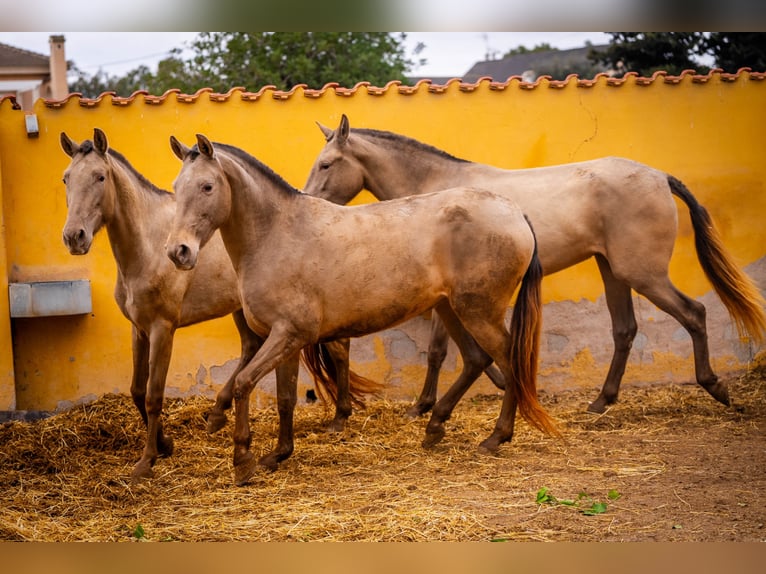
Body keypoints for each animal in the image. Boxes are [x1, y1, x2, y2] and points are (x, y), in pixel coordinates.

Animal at [60, 129, 377, 480]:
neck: (148, 247)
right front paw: (165, 445)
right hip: (243, 311)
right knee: (252, 348)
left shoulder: (162, 328)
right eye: (66, 179)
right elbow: (137, 390)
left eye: (100, 177)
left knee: (338, 348)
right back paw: (218, 413)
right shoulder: (138, 329)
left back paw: (339, 417)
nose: (74, 237)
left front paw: (147, 460)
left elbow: (155, 394)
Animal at [165, 134, 559, 486]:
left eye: (207, 187)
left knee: (509, 361)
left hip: (479, 312)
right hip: (452, 309)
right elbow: (285, 398)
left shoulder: (289, 335)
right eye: (177, 186)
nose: (178, 251)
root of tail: (515, 213)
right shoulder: (285, 340)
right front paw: (278, 455)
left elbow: (244, 382)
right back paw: (434, 427)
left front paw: (243, 460)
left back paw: (496, 437)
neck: (276, 235)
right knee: (476, 359)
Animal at [304, 114, 766, 415]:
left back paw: (716, 388)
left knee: (694, 313)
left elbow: (437, 351)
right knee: (625, 330)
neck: (437, 190)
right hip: (612, 270)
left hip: (642, 274)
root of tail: (659, 177)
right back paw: (601, 402)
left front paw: (423, 406)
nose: (307, 201)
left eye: (326, 164)